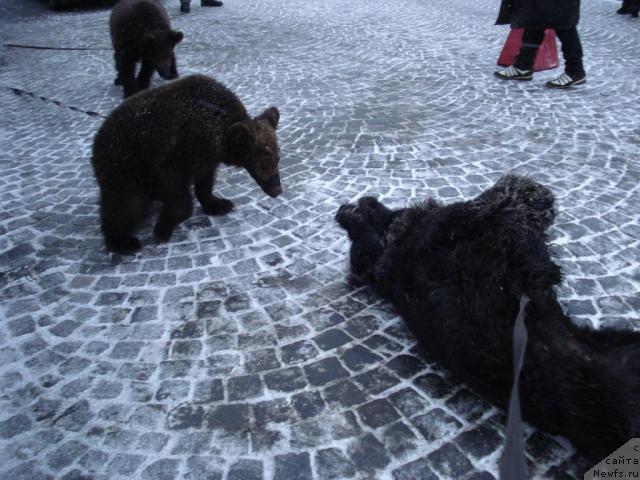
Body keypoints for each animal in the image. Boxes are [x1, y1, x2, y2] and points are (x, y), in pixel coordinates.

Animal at [338, 175, 636, 462]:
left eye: (354, 223)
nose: (341, 210)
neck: (392, 245)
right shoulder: (491, 224)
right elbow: (504, 195)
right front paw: (533, 194)